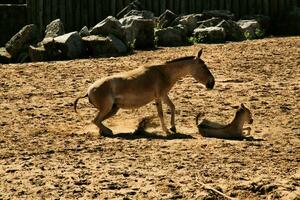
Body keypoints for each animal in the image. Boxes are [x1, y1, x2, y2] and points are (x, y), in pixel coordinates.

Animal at [75, 49, 216, 135]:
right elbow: (161, 113)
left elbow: (172, 107)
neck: (163, 73)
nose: (212, 83)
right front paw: (166, 130)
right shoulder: (158, 97)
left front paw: (173, 127)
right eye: (203, 66)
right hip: (107, 108)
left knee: (98, 121)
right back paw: (109, 131)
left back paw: (105, 131)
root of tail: (89, 91)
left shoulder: (164, 95)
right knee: (95, 120)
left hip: (113, 109)